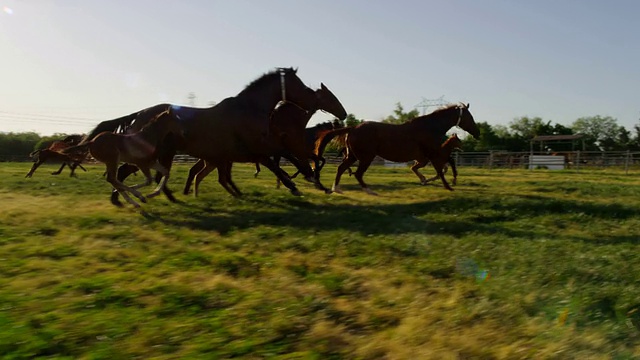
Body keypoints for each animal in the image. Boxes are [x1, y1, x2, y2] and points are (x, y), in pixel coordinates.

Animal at [180, 81, 350, 197]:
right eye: (332, 98)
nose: (344, 114)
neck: (289, 121)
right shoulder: (294, 149)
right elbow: (309, 163)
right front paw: (311, 181)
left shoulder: (287, 151)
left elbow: (312, 162)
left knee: (199, 171)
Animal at [316, 102, 480, 195]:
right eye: (470, 117)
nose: (477, 133)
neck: (430, 128)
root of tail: (353, 128)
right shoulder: (432, 155)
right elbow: (440, 171)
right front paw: (448, 186)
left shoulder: (428, 157)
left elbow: (440, 168)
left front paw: (430, 180)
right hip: (366, 157)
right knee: (357, 173)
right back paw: (370, 191)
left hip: (353, 156)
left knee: (342, 168)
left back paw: (336, 189)